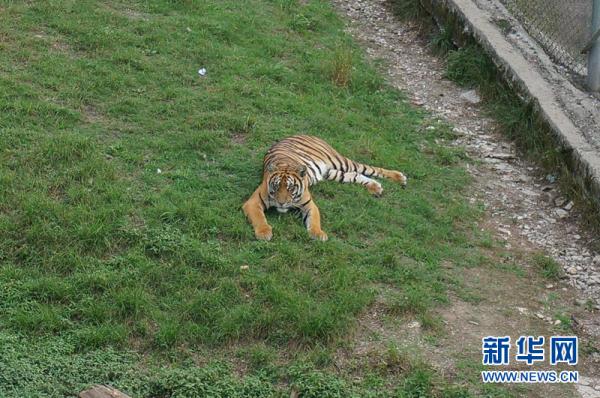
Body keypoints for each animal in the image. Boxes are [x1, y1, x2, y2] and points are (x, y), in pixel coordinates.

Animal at [241, 134, 406, 241]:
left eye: (290, 188)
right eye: (276, 186)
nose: (281, 203)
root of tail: (305, 133)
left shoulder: (309, 205)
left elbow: (314, 221)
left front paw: (318, 234)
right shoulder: (253, 202)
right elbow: (259, 218)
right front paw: (264, 233)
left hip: (341, 162)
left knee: (371, 169)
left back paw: (400, 177)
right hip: (333, 173)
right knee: (356, 175)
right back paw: (375, 187)